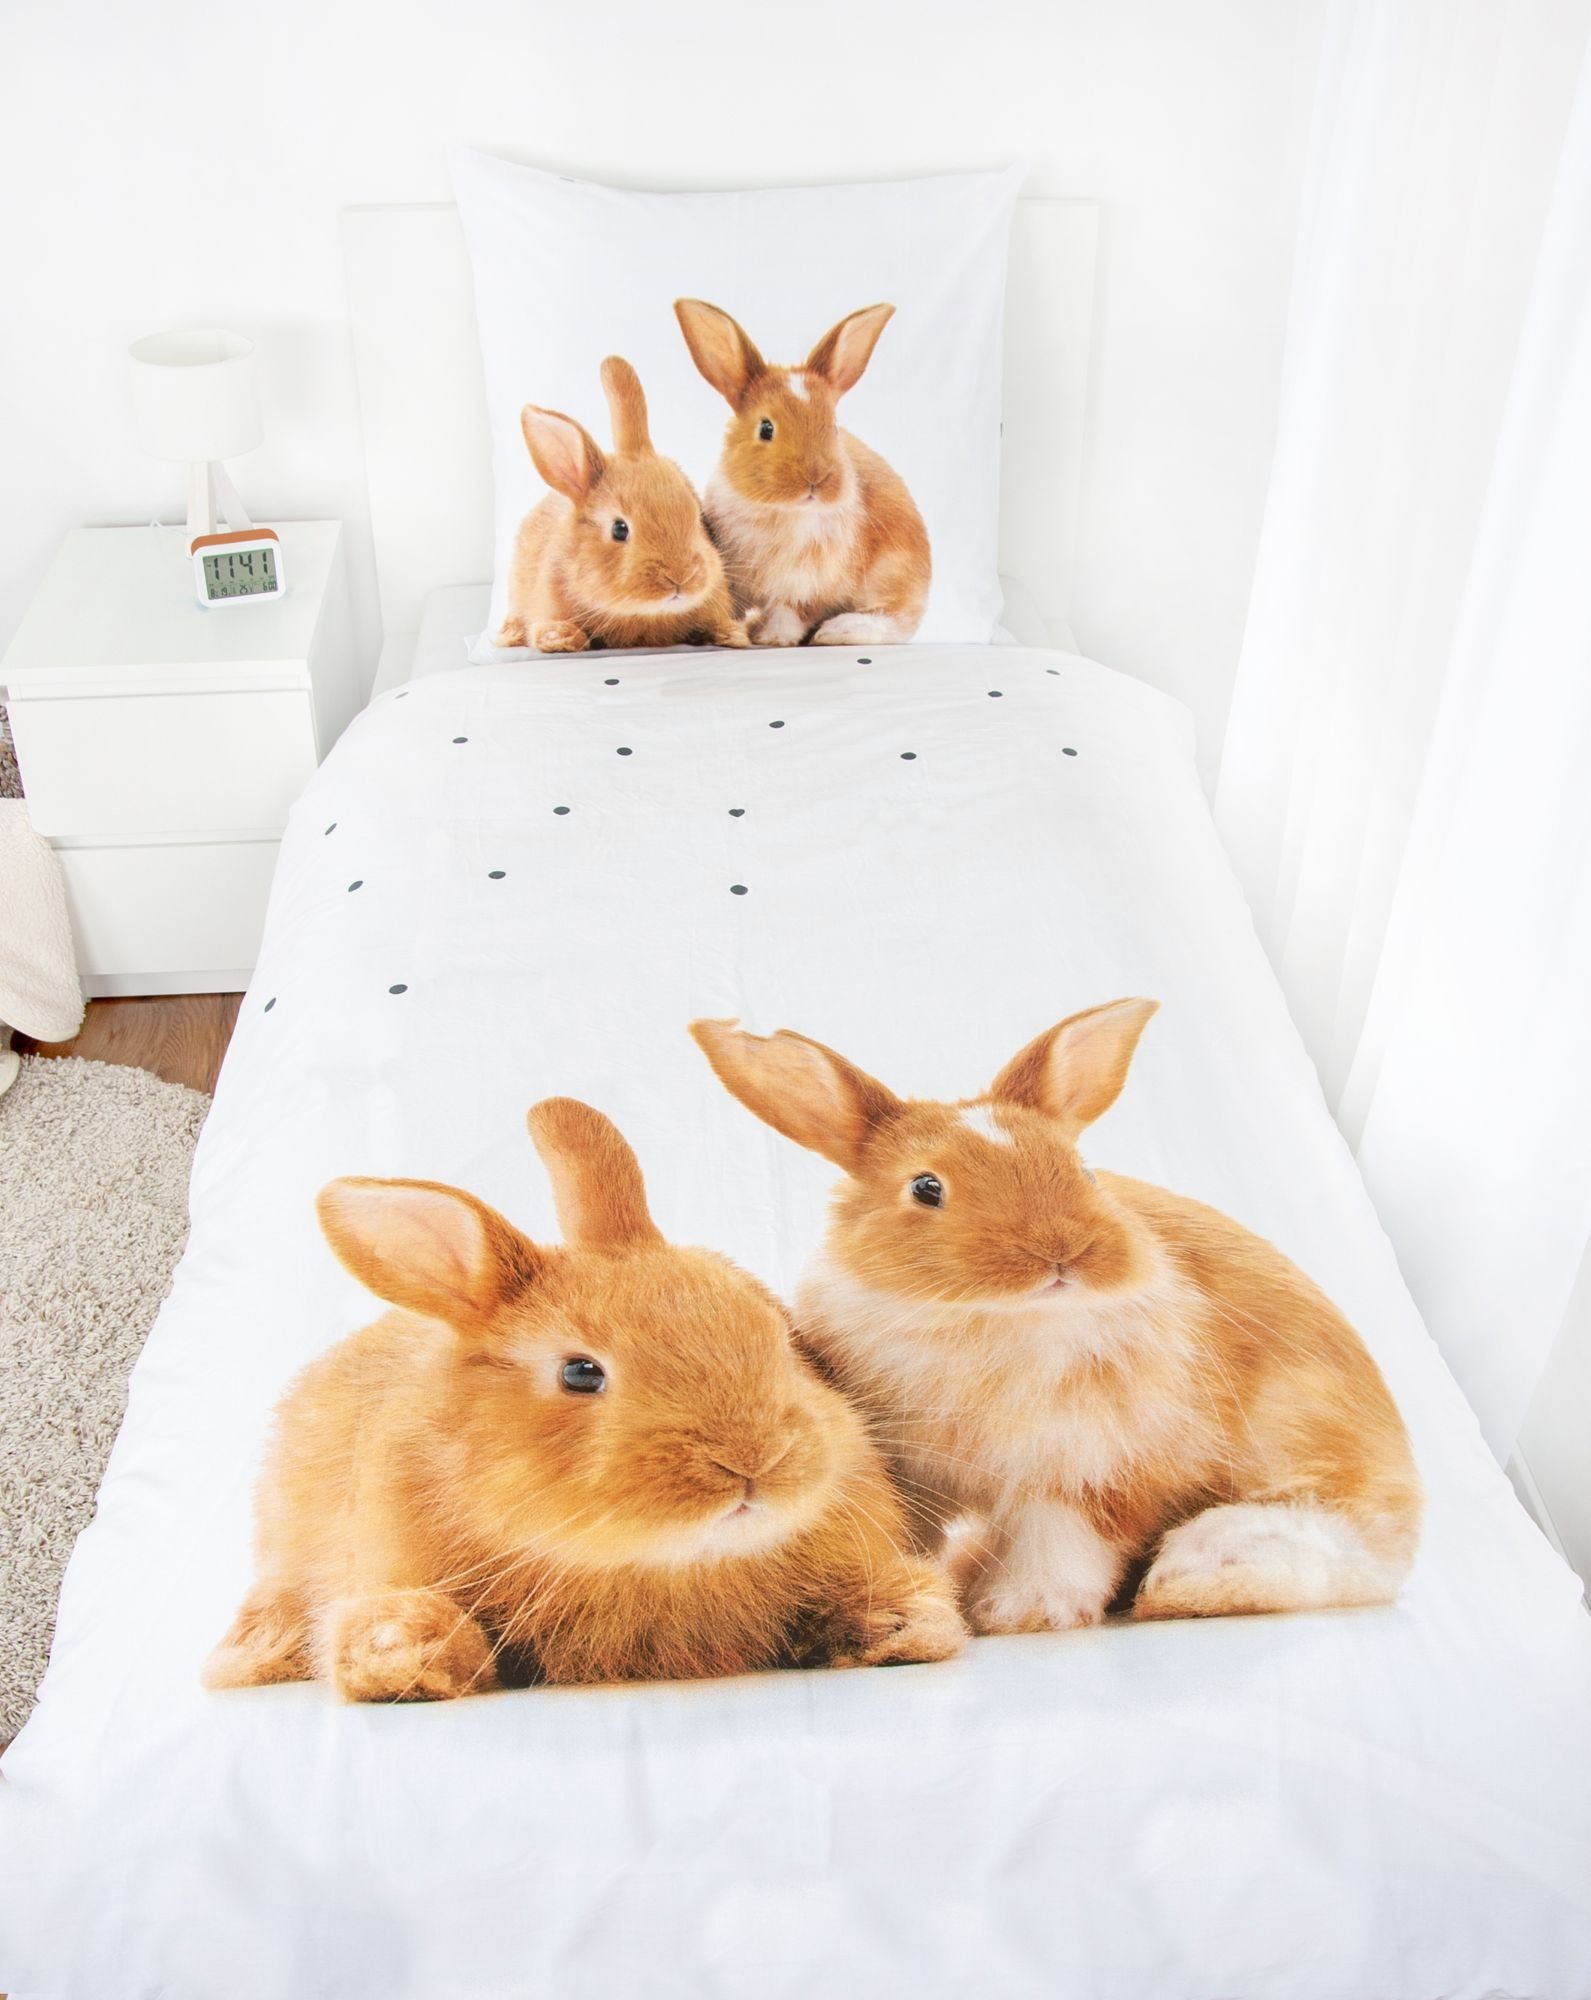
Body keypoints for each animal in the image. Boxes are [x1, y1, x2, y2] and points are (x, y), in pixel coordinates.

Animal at [673, 298, 931, 648]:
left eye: (833, 428)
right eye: (766, 428)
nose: (815, 480)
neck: (779, 512)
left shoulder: (811, 586)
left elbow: (791, 612)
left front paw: (770, 637)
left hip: (895, 576)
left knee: (896, 622)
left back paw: (840, 630)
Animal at [691, 1002, 1422, 1637]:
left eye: (1083, 1172)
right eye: (926, 1188)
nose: (1061, 1253)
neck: (986, 1323)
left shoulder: (1089, 1472)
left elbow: (1061, 1542)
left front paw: (1023, 1611)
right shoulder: (908, 1471)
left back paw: (1198, 1576)